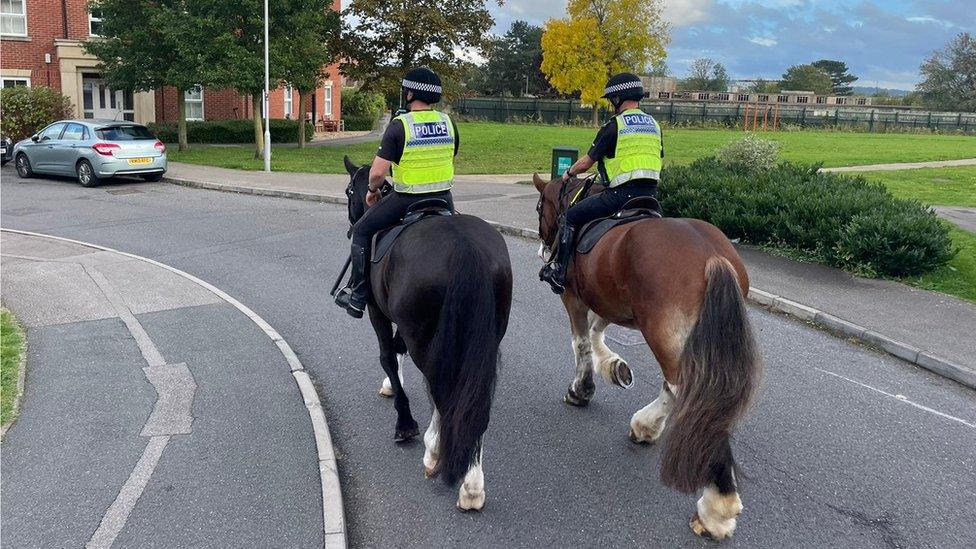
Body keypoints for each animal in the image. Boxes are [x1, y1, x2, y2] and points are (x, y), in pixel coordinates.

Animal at [344, 154, 516, 510]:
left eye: (349, 190)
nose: (353, 224)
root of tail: (465, 247)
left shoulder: (378, 311)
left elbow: (388, 356)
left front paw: (405, 423)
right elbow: (397, 351)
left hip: (424, 336)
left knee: (442, 388)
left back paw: (435, 450)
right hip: (485, 339)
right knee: (472, 399)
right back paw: (472, 483)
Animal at [532, 173, 764, 536]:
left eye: (540, 207)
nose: (545, 246)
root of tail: (713, 257)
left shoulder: (574, 297)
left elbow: (581, 342)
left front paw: (581, 390)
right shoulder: (612, 301)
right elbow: (597, 332)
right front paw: (614, 367)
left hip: (664, 336)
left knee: (690, 396)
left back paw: (715, 509)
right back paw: (647, 426)